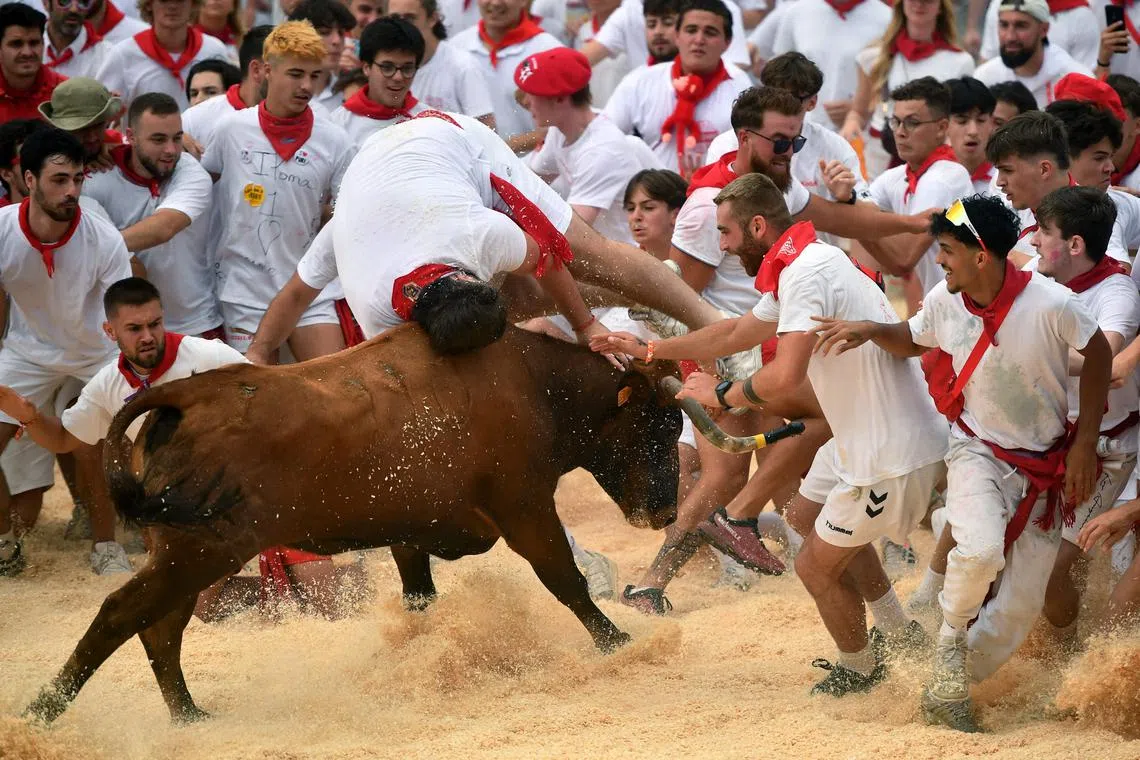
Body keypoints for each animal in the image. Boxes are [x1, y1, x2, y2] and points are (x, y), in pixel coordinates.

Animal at [23, 324, 698, 726]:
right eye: (659, 427)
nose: (665, 512)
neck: (536, 386)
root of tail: (185, 396)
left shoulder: (412, 531)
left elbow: (420, 598)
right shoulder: (526, 507)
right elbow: (565, 579)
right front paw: (618, 642)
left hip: (185, 552)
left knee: (159, 628)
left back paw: (188, 715)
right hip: (199, 552)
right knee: (122, 614)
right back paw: (42, 711)